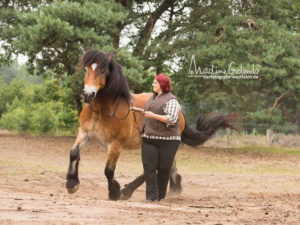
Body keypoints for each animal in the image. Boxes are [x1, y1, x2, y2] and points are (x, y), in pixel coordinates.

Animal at [65, 48, 237, 200]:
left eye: (102, 71)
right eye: (86, 70)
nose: (88, 94)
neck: (102, 110)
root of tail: (179, 111)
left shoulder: (115, 144)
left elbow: (108, 170)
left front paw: (114, 193)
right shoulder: (83, 133)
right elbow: (74, 153)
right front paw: (72, 184)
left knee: (154, 167)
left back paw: (128, 191)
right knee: (166, 165)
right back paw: (174, 188)